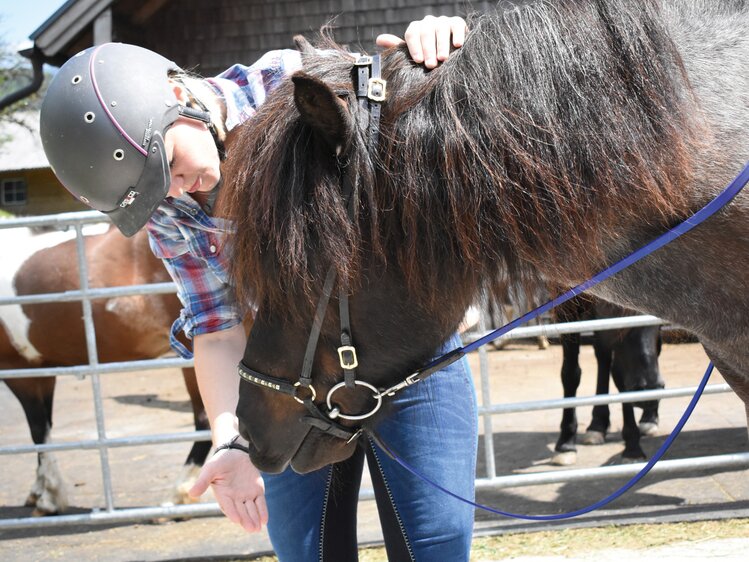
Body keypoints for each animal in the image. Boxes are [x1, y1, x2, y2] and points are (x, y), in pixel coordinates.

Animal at [0, 225, 210, 516]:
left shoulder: (17, 369)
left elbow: (38, 430)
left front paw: (49, 498)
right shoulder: (41, 370)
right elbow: (47, 427)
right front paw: (38, 490)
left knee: (204, 420)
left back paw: (176, 496)